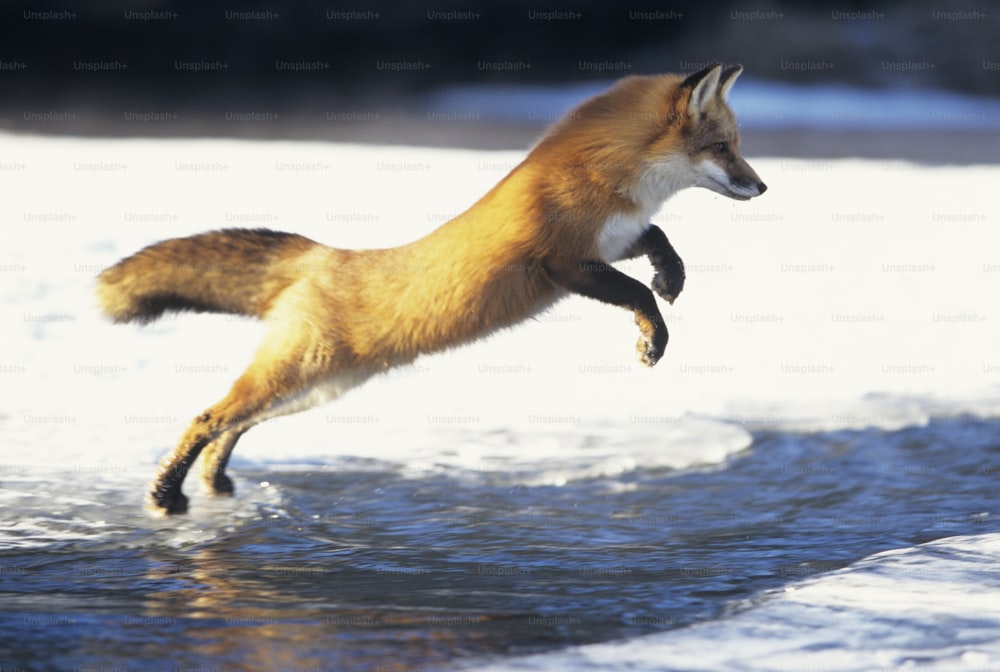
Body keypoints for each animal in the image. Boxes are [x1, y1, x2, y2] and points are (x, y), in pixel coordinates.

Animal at [95, 64, 764, 516]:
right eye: (723, 147)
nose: (762, 188)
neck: (608, 172)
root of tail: (322, 256)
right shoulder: (562, 263)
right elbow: (638, 295)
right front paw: (653, 341)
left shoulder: (612, 240)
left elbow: (660, 241)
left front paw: (672, 278)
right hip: (298, 374)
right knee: (207, 417)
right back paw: (164, 496)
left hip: (315, 389)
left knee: (230, 427)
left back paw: (214, 485)